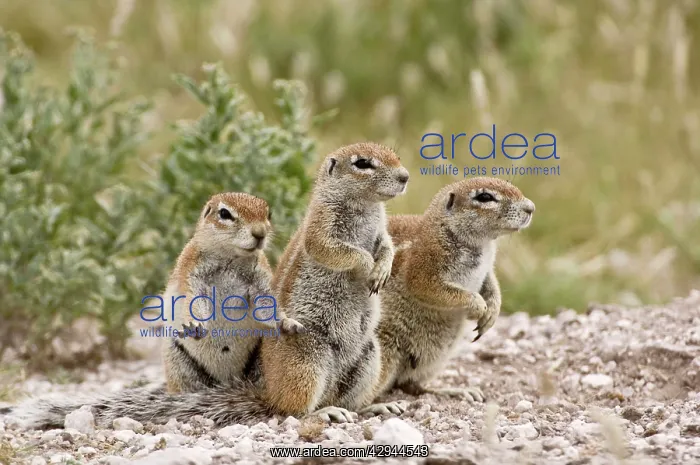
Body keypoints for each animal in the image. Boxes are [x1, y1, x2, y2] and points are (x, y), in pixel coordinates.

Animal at [3, 143, 410, 429]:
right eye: (362, 163)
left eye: (393, 154)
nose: (406, 177)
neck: (366, 207)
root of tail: (263, 389)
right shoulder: (321, 231)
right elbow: (337, 251)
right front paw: (366, 265)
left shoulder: (380, 232)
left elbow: (387, 246)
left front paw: (382, 267)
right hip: (305, 364)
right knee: (288, 410)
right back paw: (319, 415)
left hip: (368, 358)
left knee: (346, 401)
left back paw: (375, 405)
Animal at [374, 177, 535, 402]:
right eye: (485, 197)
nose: (531, 208)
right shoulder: (425, 263)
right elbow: (431, 288)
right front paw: (478, 305)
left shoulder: (487, 270)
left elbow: (492, 285)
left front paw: (491, 313)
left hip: (434, 358)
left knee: (410, 385)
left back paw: (450, 390)